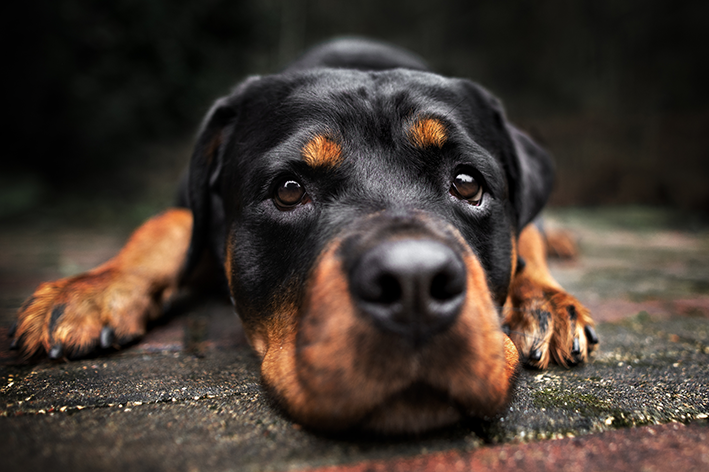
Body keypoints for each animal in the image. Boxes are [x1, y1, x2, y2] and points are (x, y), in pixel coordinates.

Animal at [11, 38, 596, 434]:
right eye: (289, 190)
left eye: (468, 183)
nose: (414, 284)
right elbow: (168, 225)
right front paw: (90, 291)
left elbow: (525, 242)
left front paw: (542, 301)